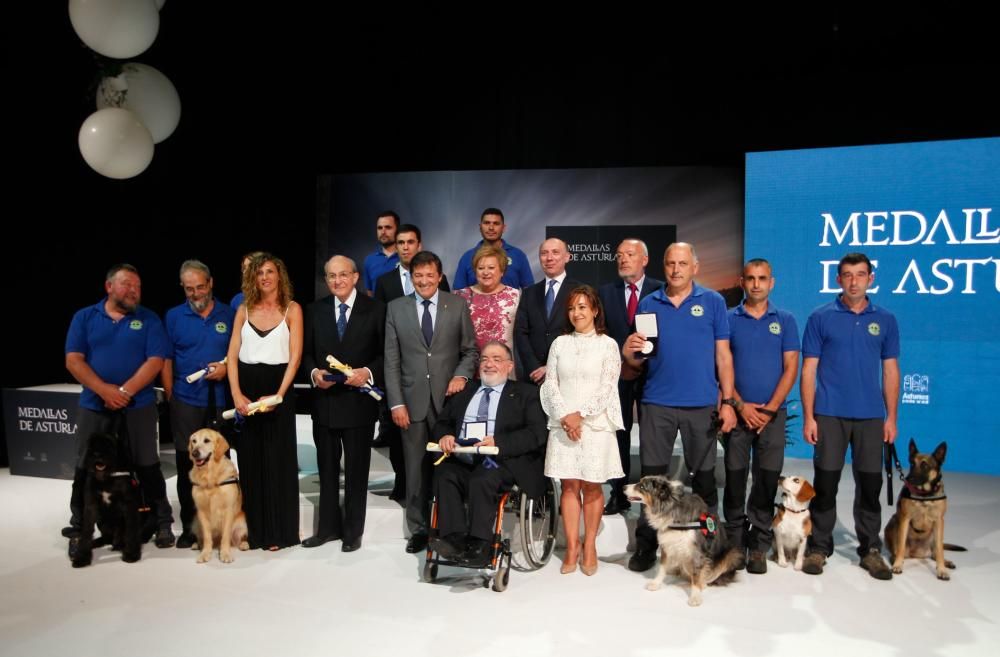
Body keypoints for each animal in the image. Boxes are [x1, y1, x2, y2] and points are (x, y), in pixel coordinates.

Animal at [70, 434, 144, 568]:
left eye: (109, 443)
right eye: (91, 444)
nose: (97, 454)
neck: (107, 478)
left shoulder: (129, 505)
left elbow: (131, 530)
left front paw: (131, 554)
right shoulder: (91, 505)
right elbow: (86, 530)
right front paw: (82, 557)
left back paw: (120, 545)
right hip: (102, 521)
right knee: (106, 538)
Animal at [189, 428, 250, 560]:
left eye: (206, 440)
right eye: (193, 441)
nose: (194, 453)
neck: (210, 475)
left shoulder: (228, 510)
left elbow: (226, 535)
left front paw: (225, 553)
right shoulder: (201, 511)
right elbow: (207, 537)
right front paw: (205, 553)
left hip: (242, 521)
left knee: (238, 538)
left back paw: (244, 544)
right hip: (195, 522)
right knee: (201, 537)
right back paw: (197, 544)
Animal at [624, 476, 744, 604]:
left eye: (642, 487)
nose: (623, 487)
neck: (670, 507)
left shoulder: (697, 551)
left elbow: (696, 575)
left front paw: (695, 596)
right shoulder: (667, 543)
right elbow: (662, 567)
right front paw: (656, 583)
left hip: (734, 554)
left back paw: (702, 583)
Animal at [888, 440, 964, 580]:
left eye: (925, 466)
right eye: (912, 464)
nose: (908, 479)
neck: (924, 495)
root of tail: (917, 554)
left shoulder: (939, 521)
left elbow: (940, 550)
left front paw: (942, 569)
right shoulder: (904, 519)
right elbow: (901, 545)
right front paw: (898, 564)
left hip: (935, 534)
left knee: (936, 552)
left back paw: (946, 562)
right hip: (894, 521)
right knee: (898, 549)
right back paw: (894, 559)